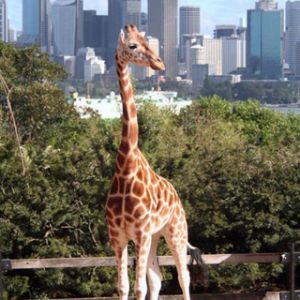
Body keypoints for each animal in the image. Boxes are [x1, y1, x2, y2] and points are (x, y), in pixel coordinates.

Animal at [105, 25, 206, 300]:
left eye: (146, 41)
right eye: (132, 45)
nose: (159, 63)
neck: (125, 168)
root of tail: (177, 196)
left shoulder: (140, 233)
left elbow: (138, 287)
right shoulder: (118, 237)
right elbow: (124, 286)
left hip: (176, 231)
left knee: (183, 276)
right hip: (155, 236)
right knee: (157, 278)